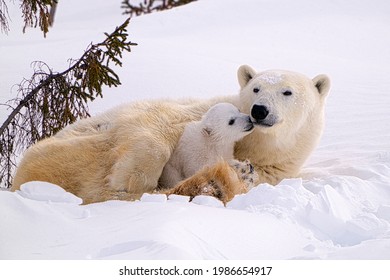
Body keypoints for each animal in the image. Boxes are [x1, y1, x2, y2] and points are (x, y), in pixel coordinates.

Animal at [11, 66, 330, 205]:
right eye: (256, 88)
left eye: (287, 92)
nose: (259, 110)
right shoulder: (189, 112)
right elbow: (155, 124)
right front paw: (129, 181)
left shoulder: (272, 170)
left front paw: (239, 171)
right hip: (66, 149)